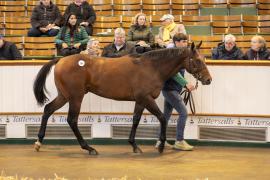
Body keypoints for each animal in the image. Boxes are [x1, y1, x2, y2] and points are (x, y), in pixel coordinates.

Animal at [33, 42, 211, 155]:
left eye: (204, 59)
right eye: (197, 60)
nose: (208, 79)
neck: (152, 67)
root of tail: (61, 60)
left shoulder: (140, 101)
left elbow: (136, 119)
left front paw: (134, 145)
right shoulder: (146, 98)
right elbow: (162, 118)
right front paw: (160, 145)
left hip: (64, 96)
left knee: (48, 109)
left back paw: (39, 142)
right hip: (76, 97)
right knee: (72, 120)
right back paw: (89, 148)